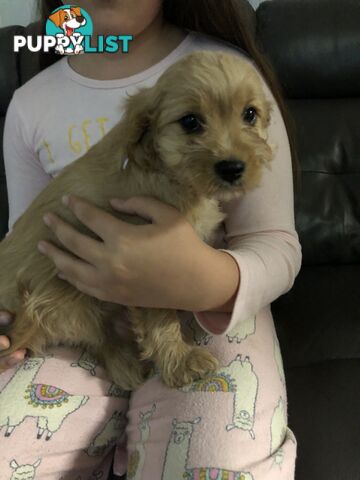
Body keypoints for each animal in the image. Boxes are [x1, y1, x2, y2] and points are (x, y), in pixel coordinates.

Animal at [0, 51, 276, 390]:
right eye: (190, 122)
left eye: (250, 114)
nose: (232, 168)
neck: (166, 173)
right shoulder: (143, 274)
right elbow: (159, 317)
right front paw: (180, 360)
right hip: (58, 296)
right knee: (96, 335)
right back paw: (126, 363)